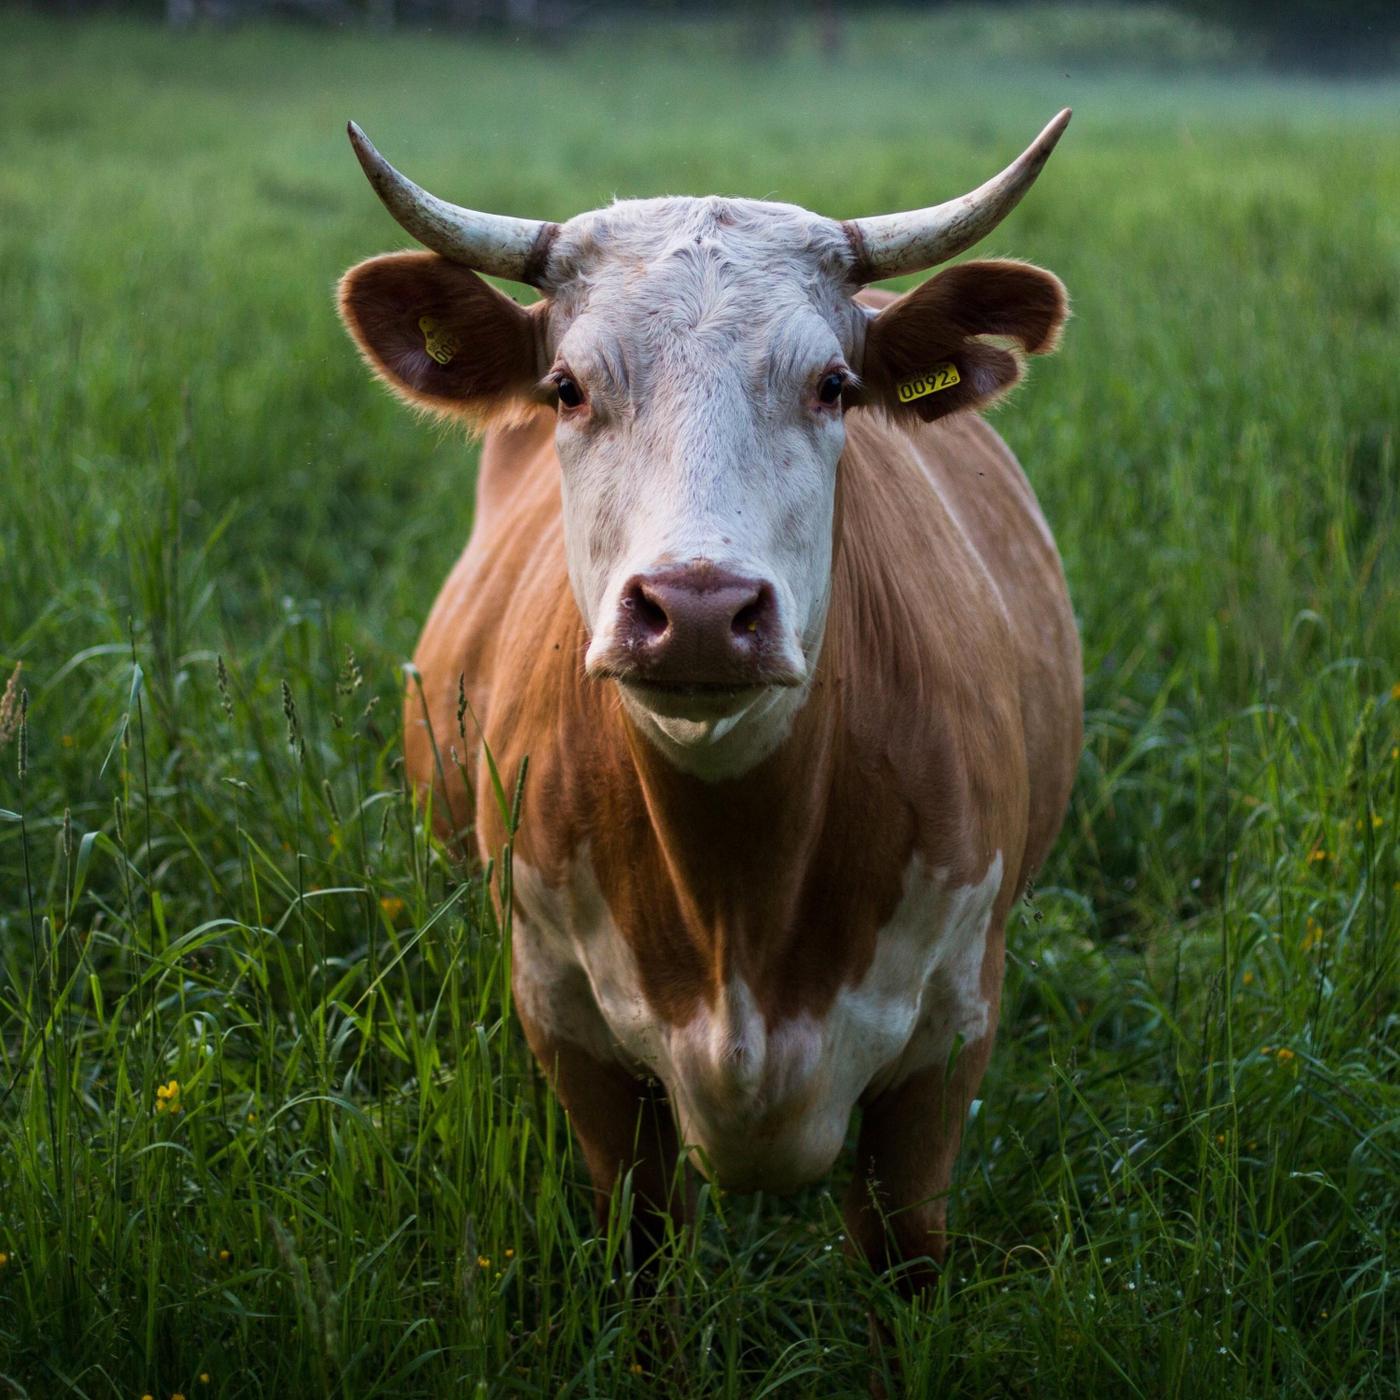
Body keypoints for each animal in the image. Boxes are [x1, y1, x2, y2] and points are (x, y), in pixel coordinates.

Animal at [336, 112, 1080, 1288]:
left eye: (833, 385)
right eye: (566, 386)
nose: (695, 608)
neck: (739, 894)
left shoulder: (949, 1045)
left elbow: (902, 1257)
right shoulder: (571, 1034)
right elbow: (644, 1249)